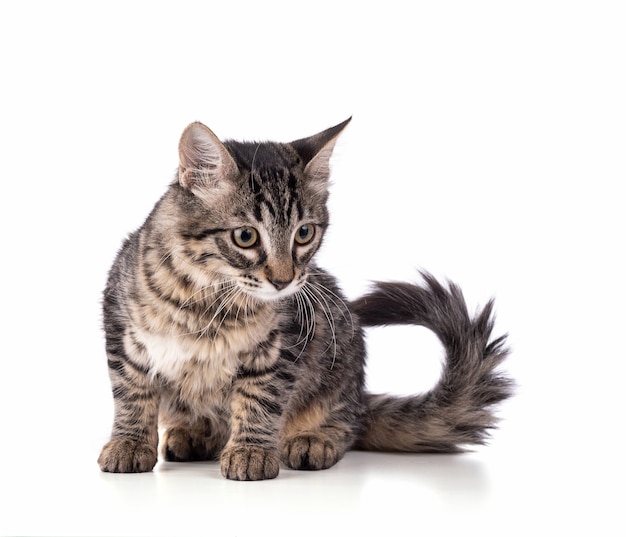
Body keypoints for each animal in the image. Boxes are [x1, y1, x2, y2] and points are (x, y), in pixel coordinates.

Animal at [96, 119, 508, 480]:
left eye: (304, 233)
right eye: (245, 236)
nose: (283, 280)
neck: (208, 299)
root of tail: (360, 397)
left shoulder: (283, 346)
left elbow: (259, 399)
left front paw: (251, 451)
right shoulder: (121, 332)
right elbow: (132, 396)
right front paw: (129, 444)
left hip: (339, 362)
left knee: (346, 423)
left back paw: (311, 439)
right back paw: (192, 434)